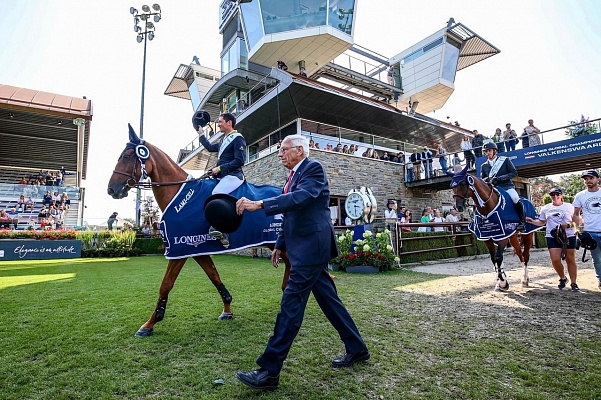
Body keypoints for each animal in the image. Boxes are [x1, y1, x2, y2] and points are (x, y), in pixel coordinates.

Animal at [107, 126, 290, 338]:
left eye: (127, 156)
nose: (111, 189)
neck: (178, 194)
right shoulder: (196, 248)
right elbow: (214, 276)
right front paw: (227, 310)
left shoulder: (179, 250)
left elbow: (165, 285)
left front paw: (150, 323)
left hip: (272, 240)